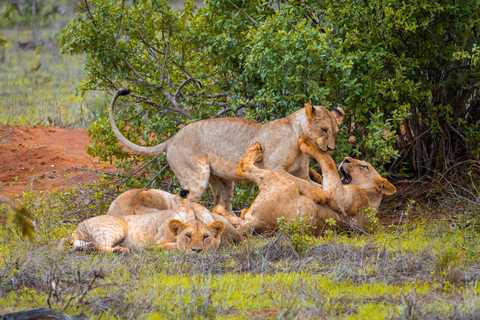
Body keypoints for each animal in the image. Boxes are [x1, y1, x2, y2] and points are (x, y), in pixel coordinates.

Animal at [67, 202, 242, 252]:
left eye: (206, 237)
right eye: (188, 235)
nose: (197, 251)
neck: (194, 215)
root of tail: (78, 226)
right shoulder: (158, 243)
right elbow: (176, 246)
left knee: (82, 244)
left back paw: (86, 247)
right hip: (118, 227)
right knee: (104, 246)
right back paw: (120, 250)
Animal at [108, 89, 344, 214]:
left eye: (335, 132)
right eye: (324, 130)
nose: (331, 148)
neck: (298, 134)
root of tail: (172, 139)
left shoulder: (300, 171)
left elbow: (308, 181)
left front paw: (328, 194)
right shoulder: (276, 168)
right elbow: (303, 184)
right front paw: (322, 195)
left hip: (223, 181)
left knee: (220, 205)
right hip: (196, 177)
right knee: (179, 202)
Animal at [219, 141, 396, 235]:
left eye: (365, 166)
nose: (346, 159)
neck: (369, 196)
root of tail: (259, 222)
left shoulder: (343, 198)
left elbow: (328, 160)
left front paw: (308, 145)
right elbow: (321, 178)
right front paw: (314, 174)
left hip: (282, 182)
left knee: (242, 168)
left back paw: (255, 149)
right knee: (228, 214)